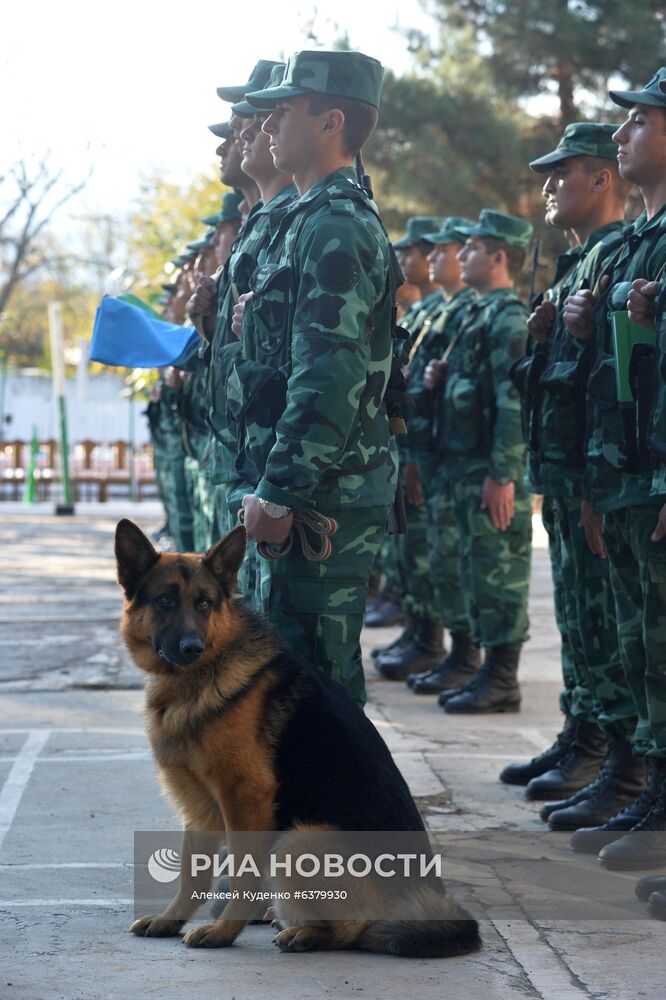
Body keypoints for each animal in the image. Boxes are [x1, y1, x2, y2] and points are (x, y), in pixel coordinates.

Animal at [114, 520, 478, 956]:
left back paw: (307, 933)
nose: (191, 648)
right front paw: (171, 920)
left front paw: (223, 932)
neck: (205, 672)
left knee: (354, 929)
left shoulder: (246, 798)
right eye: (166, 600)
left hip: (296, 841)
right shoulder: (199, 808)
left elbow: (242, 874)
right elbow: (191, 875)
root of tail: (415, 902)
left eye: (204, 604)